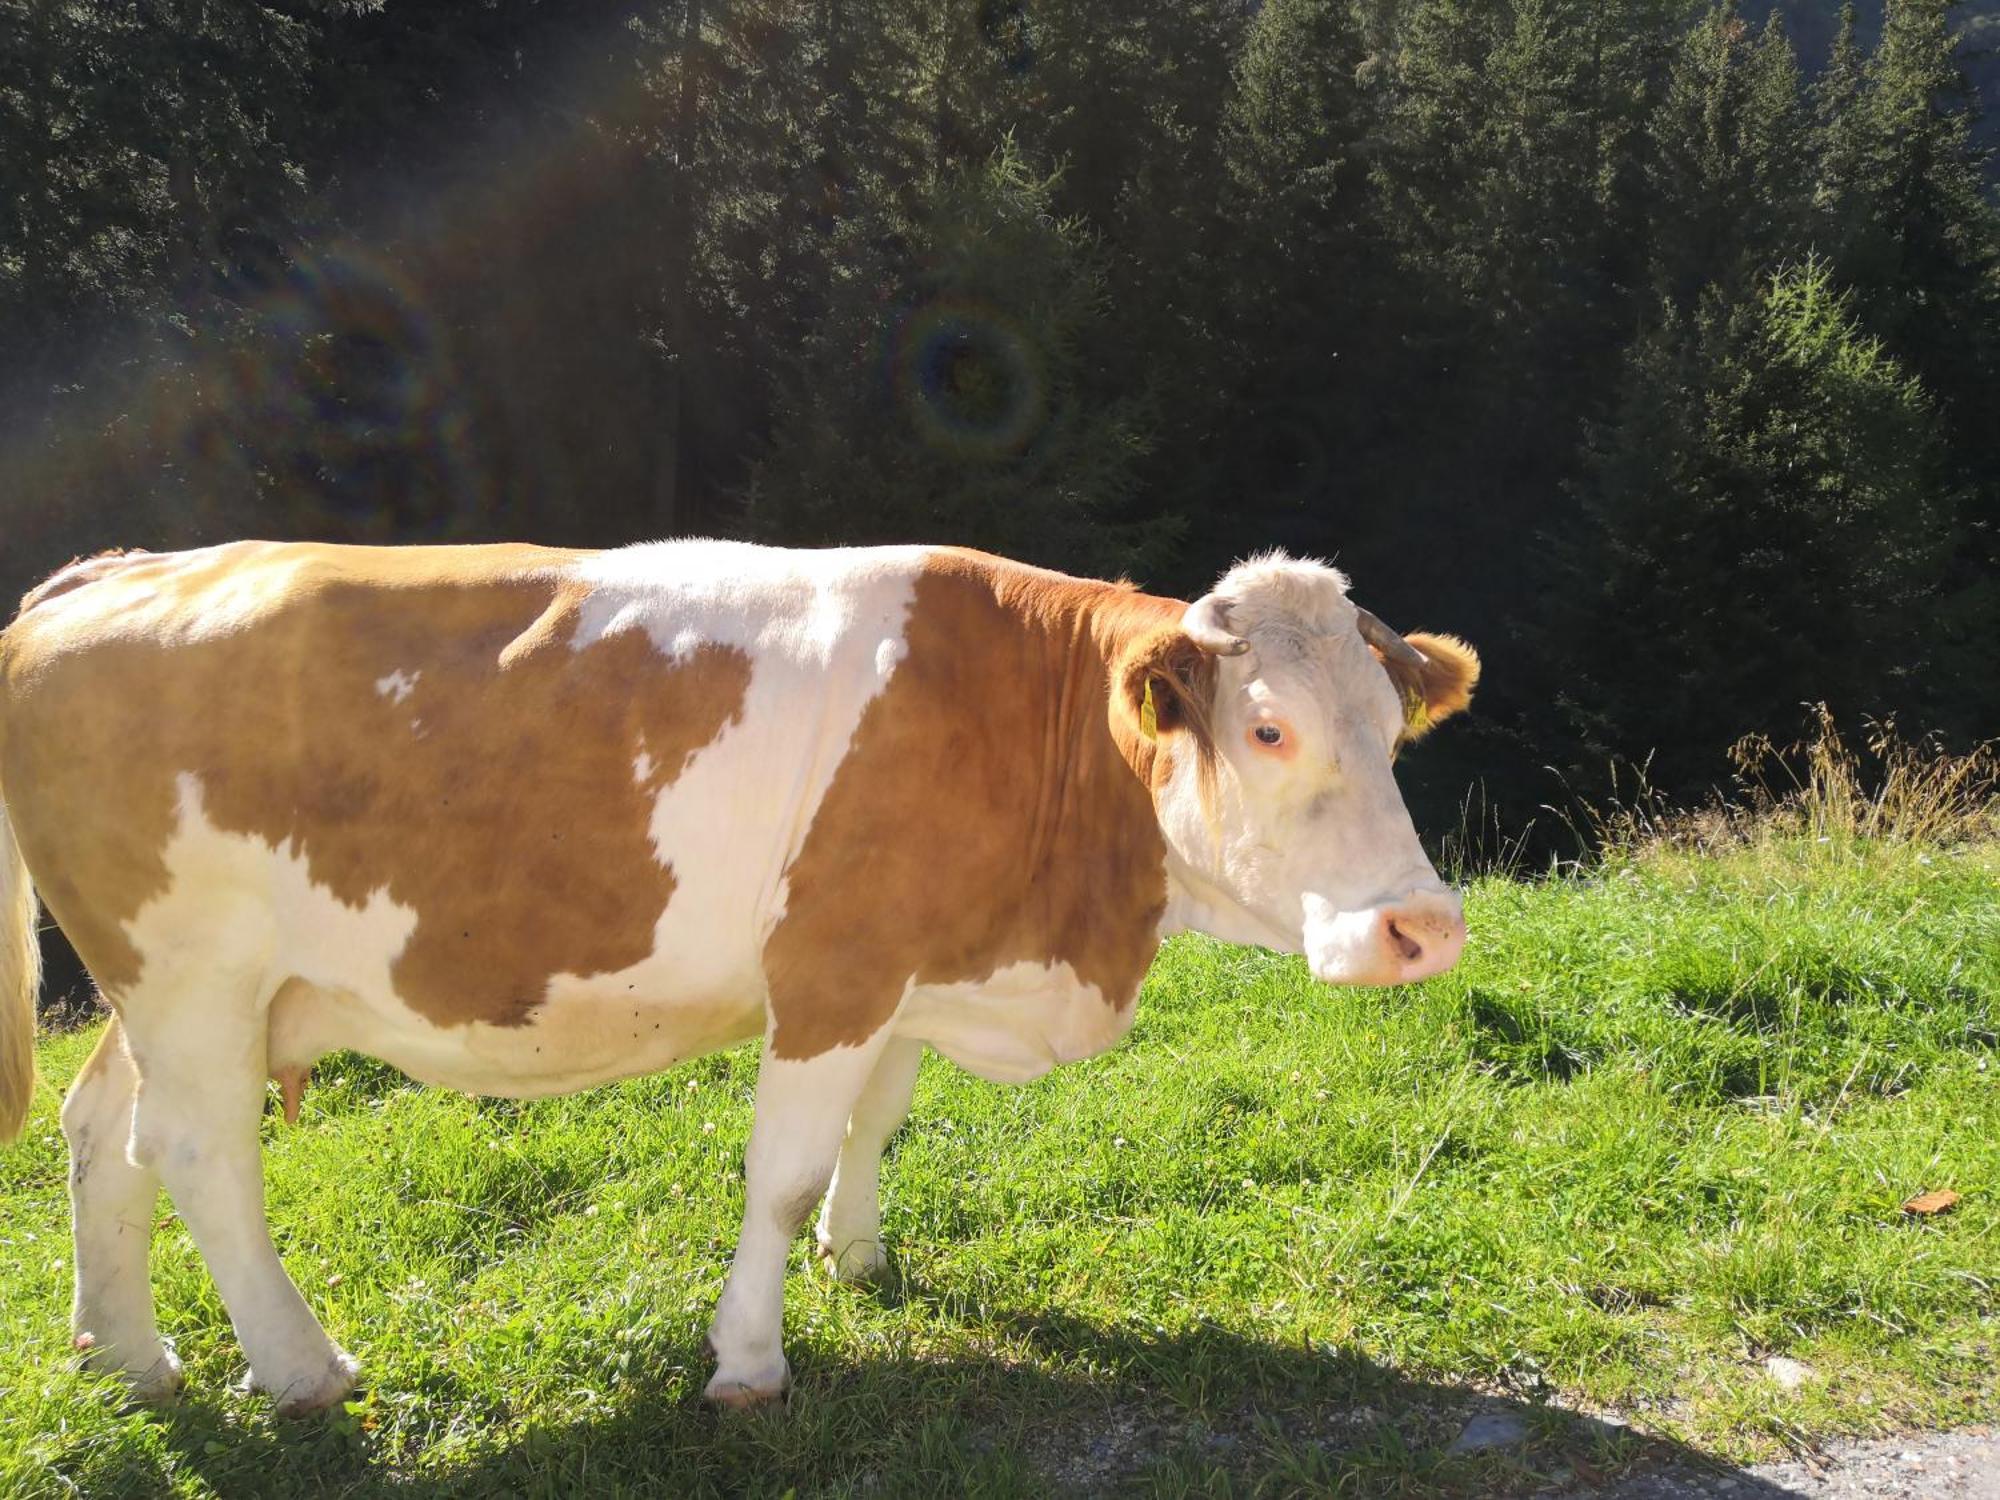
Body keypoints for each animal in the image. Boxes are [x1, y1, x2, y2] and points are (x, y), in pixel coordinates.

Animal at [0, 544, 1472, 1424]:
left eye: (1394, 728)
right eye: (1268, 730)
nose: (1425, 928)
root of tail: (107, 573)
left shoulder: (906, 969)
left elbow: (877, 1124)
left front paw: (860, 1259)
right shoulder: (831, 967)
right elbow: (783, 1170)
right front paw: (751, 1359)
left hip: (179, 989)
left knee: (104, 1131)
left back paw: (126, 1353)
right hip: (191, 970)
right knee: (201, 1152)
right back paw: (303, 1369)